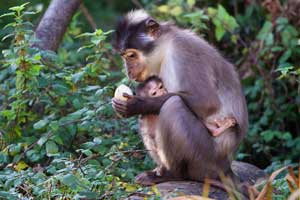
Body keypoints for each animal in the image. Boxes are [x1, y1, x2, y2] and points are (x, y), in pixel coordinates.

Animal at [111, 9, 247, 188]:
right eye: (123, 56)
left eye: (131, 55)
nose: (128, 71)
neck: (166, 48)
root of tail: (226, 169)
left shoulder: (184, 52)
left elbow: (206, 102)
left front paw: (136, 105)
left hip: (207, 157)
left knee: (173, 105)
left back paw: (172, 174)